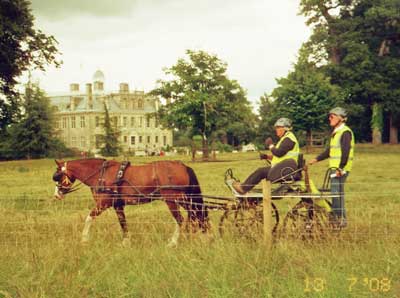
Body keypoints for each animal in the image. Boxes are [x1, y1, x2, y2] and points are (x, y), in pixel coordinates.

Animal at [52, 157, 209, 246]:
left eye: (57, 176)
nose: (56, 195)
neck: (101, 174)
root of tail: (183, 166)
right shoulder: (118, 205)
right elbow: (123, 223)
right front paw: (126, 242)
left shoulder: (103, 203)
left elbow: (89, 218)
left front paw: (84, 239)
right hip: (183, 199)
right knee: (196, 214)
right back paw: (198, 234)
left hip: (173, 199)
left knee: (182, 218)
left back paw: (173, 242)